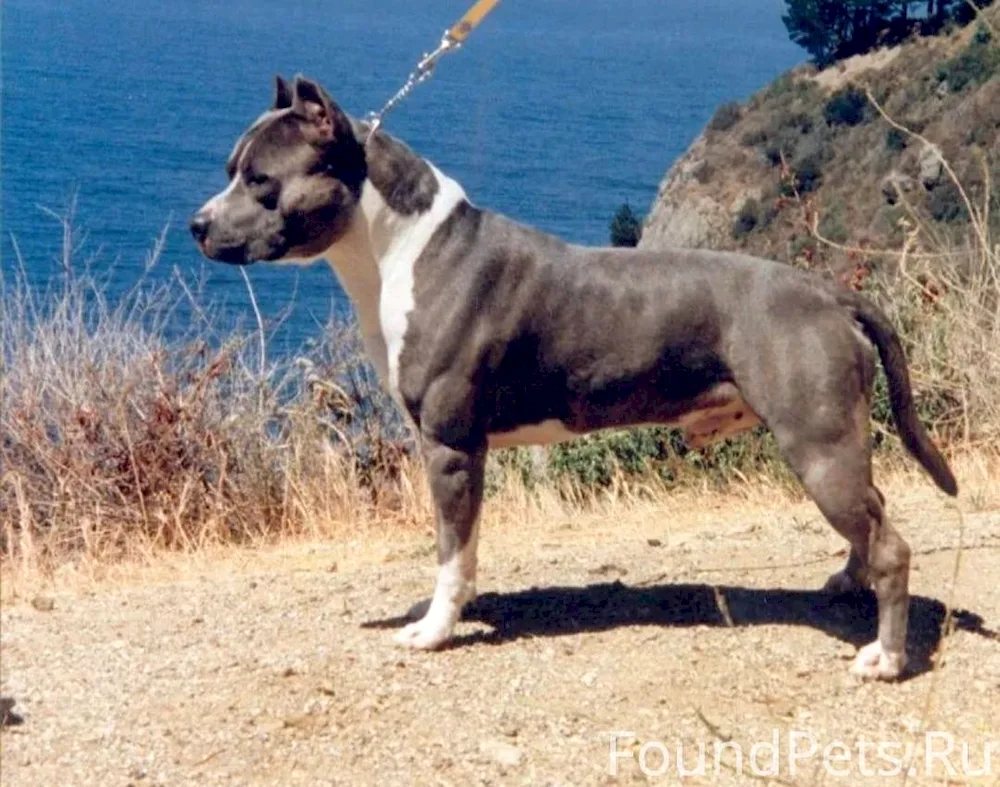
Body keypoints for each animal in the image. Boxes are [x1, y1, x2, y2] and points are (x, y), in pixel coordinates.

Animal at [191, 75, 956, 684]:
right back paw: (848, 580)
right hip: (836, 444)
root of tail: (828, 293)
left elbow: (450, 549)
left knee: (892, 543)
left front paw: (434, 629)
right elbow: (460, 546)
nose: (198, 224)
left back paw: (885, 657)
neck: (399, 246)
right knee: (874, 512)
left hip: (817, 443)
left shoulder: (451, 446)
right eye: (231, 167)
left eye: (260, 180)